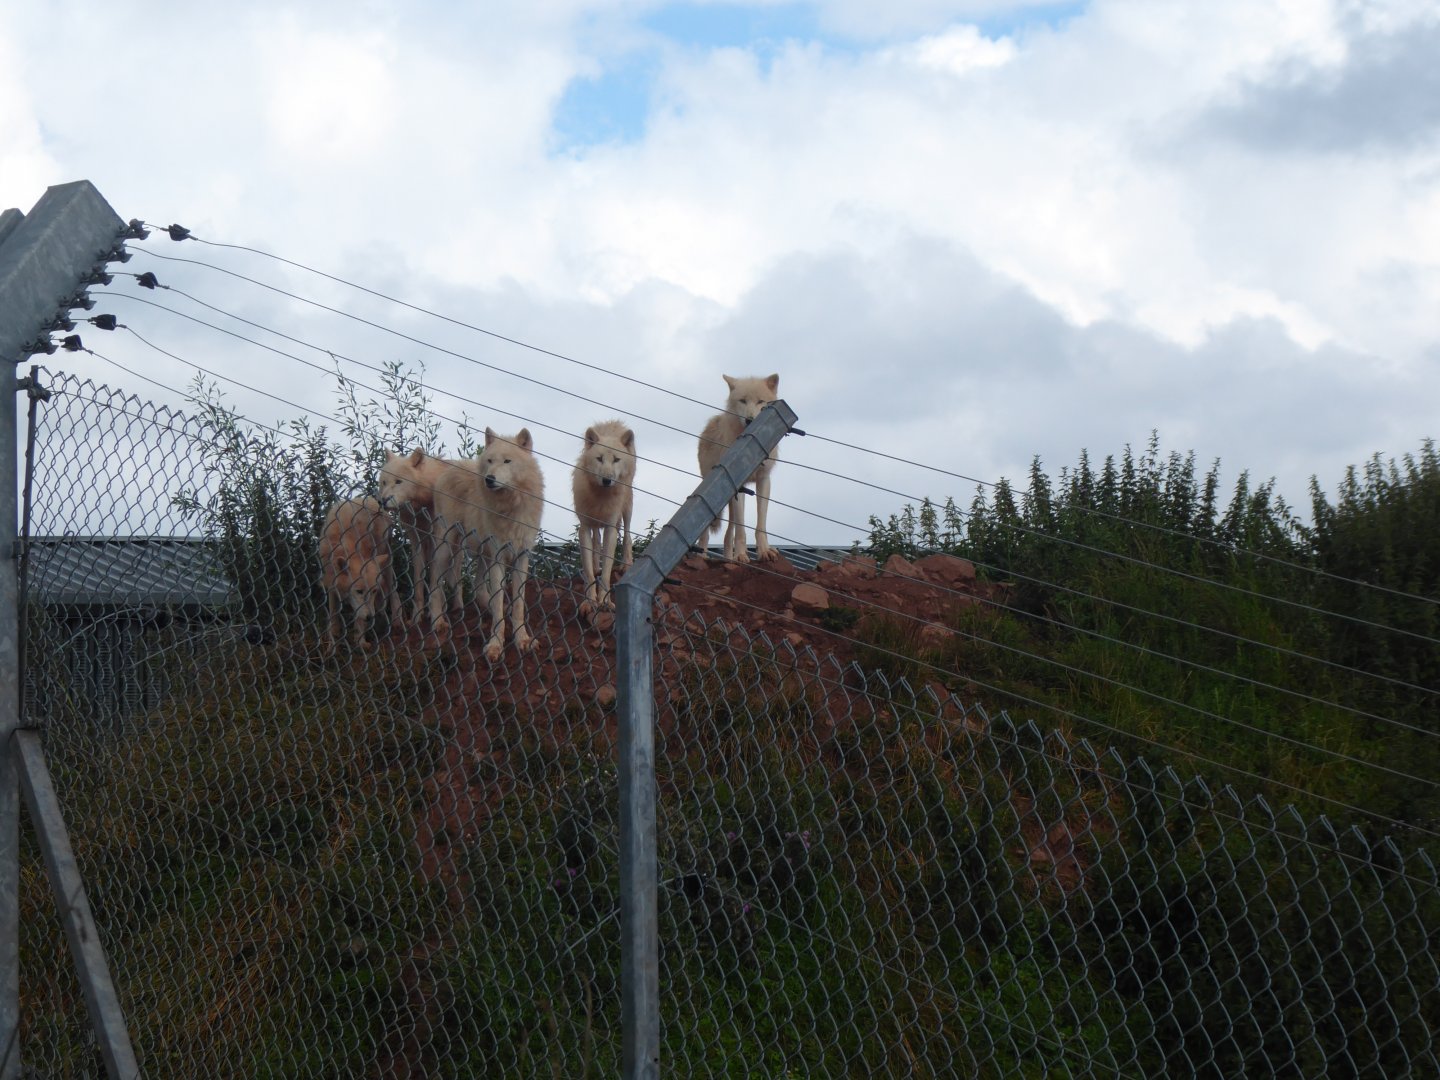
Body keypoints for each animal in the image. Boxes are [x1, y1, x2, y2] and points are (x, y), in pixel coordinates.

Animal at [319, 496, 397, 648]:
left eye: (373, 591)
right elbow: (333, 613)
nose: (370, 617)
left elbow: (359, 618)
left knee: (392, 593)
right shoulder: (331, 578)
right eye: (359, 591)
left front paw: (360, 641)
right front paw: (332, 642)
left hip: (387, 562)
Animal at [428, 428, 545, 662]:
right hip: (447, 545)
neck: (510, 506)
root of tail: (448, 467)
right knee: (436, 579)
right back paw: (438, 620)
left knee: (478, 586)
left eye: (507, 461)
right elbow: (499, 601)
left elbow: (518, 604)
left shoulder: (521, 557)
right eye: (490, 461)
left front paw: (523, 639)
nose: (489, 479)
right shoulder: (499, 558)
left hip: (483, 553)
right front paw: (495, 644)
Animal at [572, 420, 636, 615]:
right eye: (599, 458)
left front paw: (605, 601)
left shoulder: (610, 528)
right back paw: (596, 567)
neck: (600, 495)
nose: (607, 480)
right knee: (596, 542)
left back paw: (626, 564)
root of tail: (611, 424)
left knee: (628, 535)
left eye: (616, 459)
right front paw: (590, 601)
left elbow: (607, 569)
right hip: (594, 525)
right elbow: (588, 569)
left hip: (627, 508)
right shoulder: (584, 527)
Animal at [697, 373, 781, 562]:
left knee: (728, 534)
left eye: (760, 401)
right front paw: (742, 555)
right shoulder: (739, 486)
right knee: (706, 533)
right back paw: (702, 557)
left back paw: (729, 558)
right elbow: (741, 529)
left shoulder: (764, 480)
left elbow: (760, 524)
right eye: (742, 401)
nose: (749, 419)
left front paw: (764, 551)